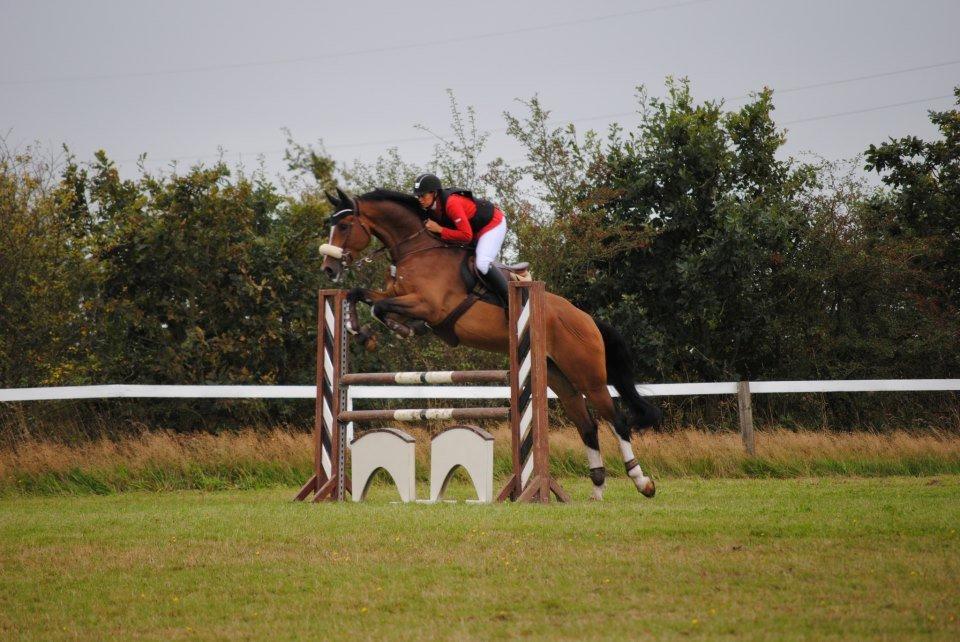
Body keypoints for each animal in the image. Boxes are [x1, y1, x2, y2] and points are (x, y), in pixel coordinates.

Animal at [320, 188, 660, 498]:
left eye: (345, 225)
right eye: (330, 224)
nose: (328, 269)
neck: (417, 249)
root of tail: (586, 319)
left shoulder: (428, 305)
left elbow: (379, 306)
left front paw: (398, 330)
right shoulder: (398, 295)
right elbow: (362, 295)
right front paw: (357, 329)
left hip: (588, 376)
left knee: (616, 420)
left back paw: (642, 482)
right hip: (558, 377)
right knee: (587, 425)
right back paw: (597, 491)